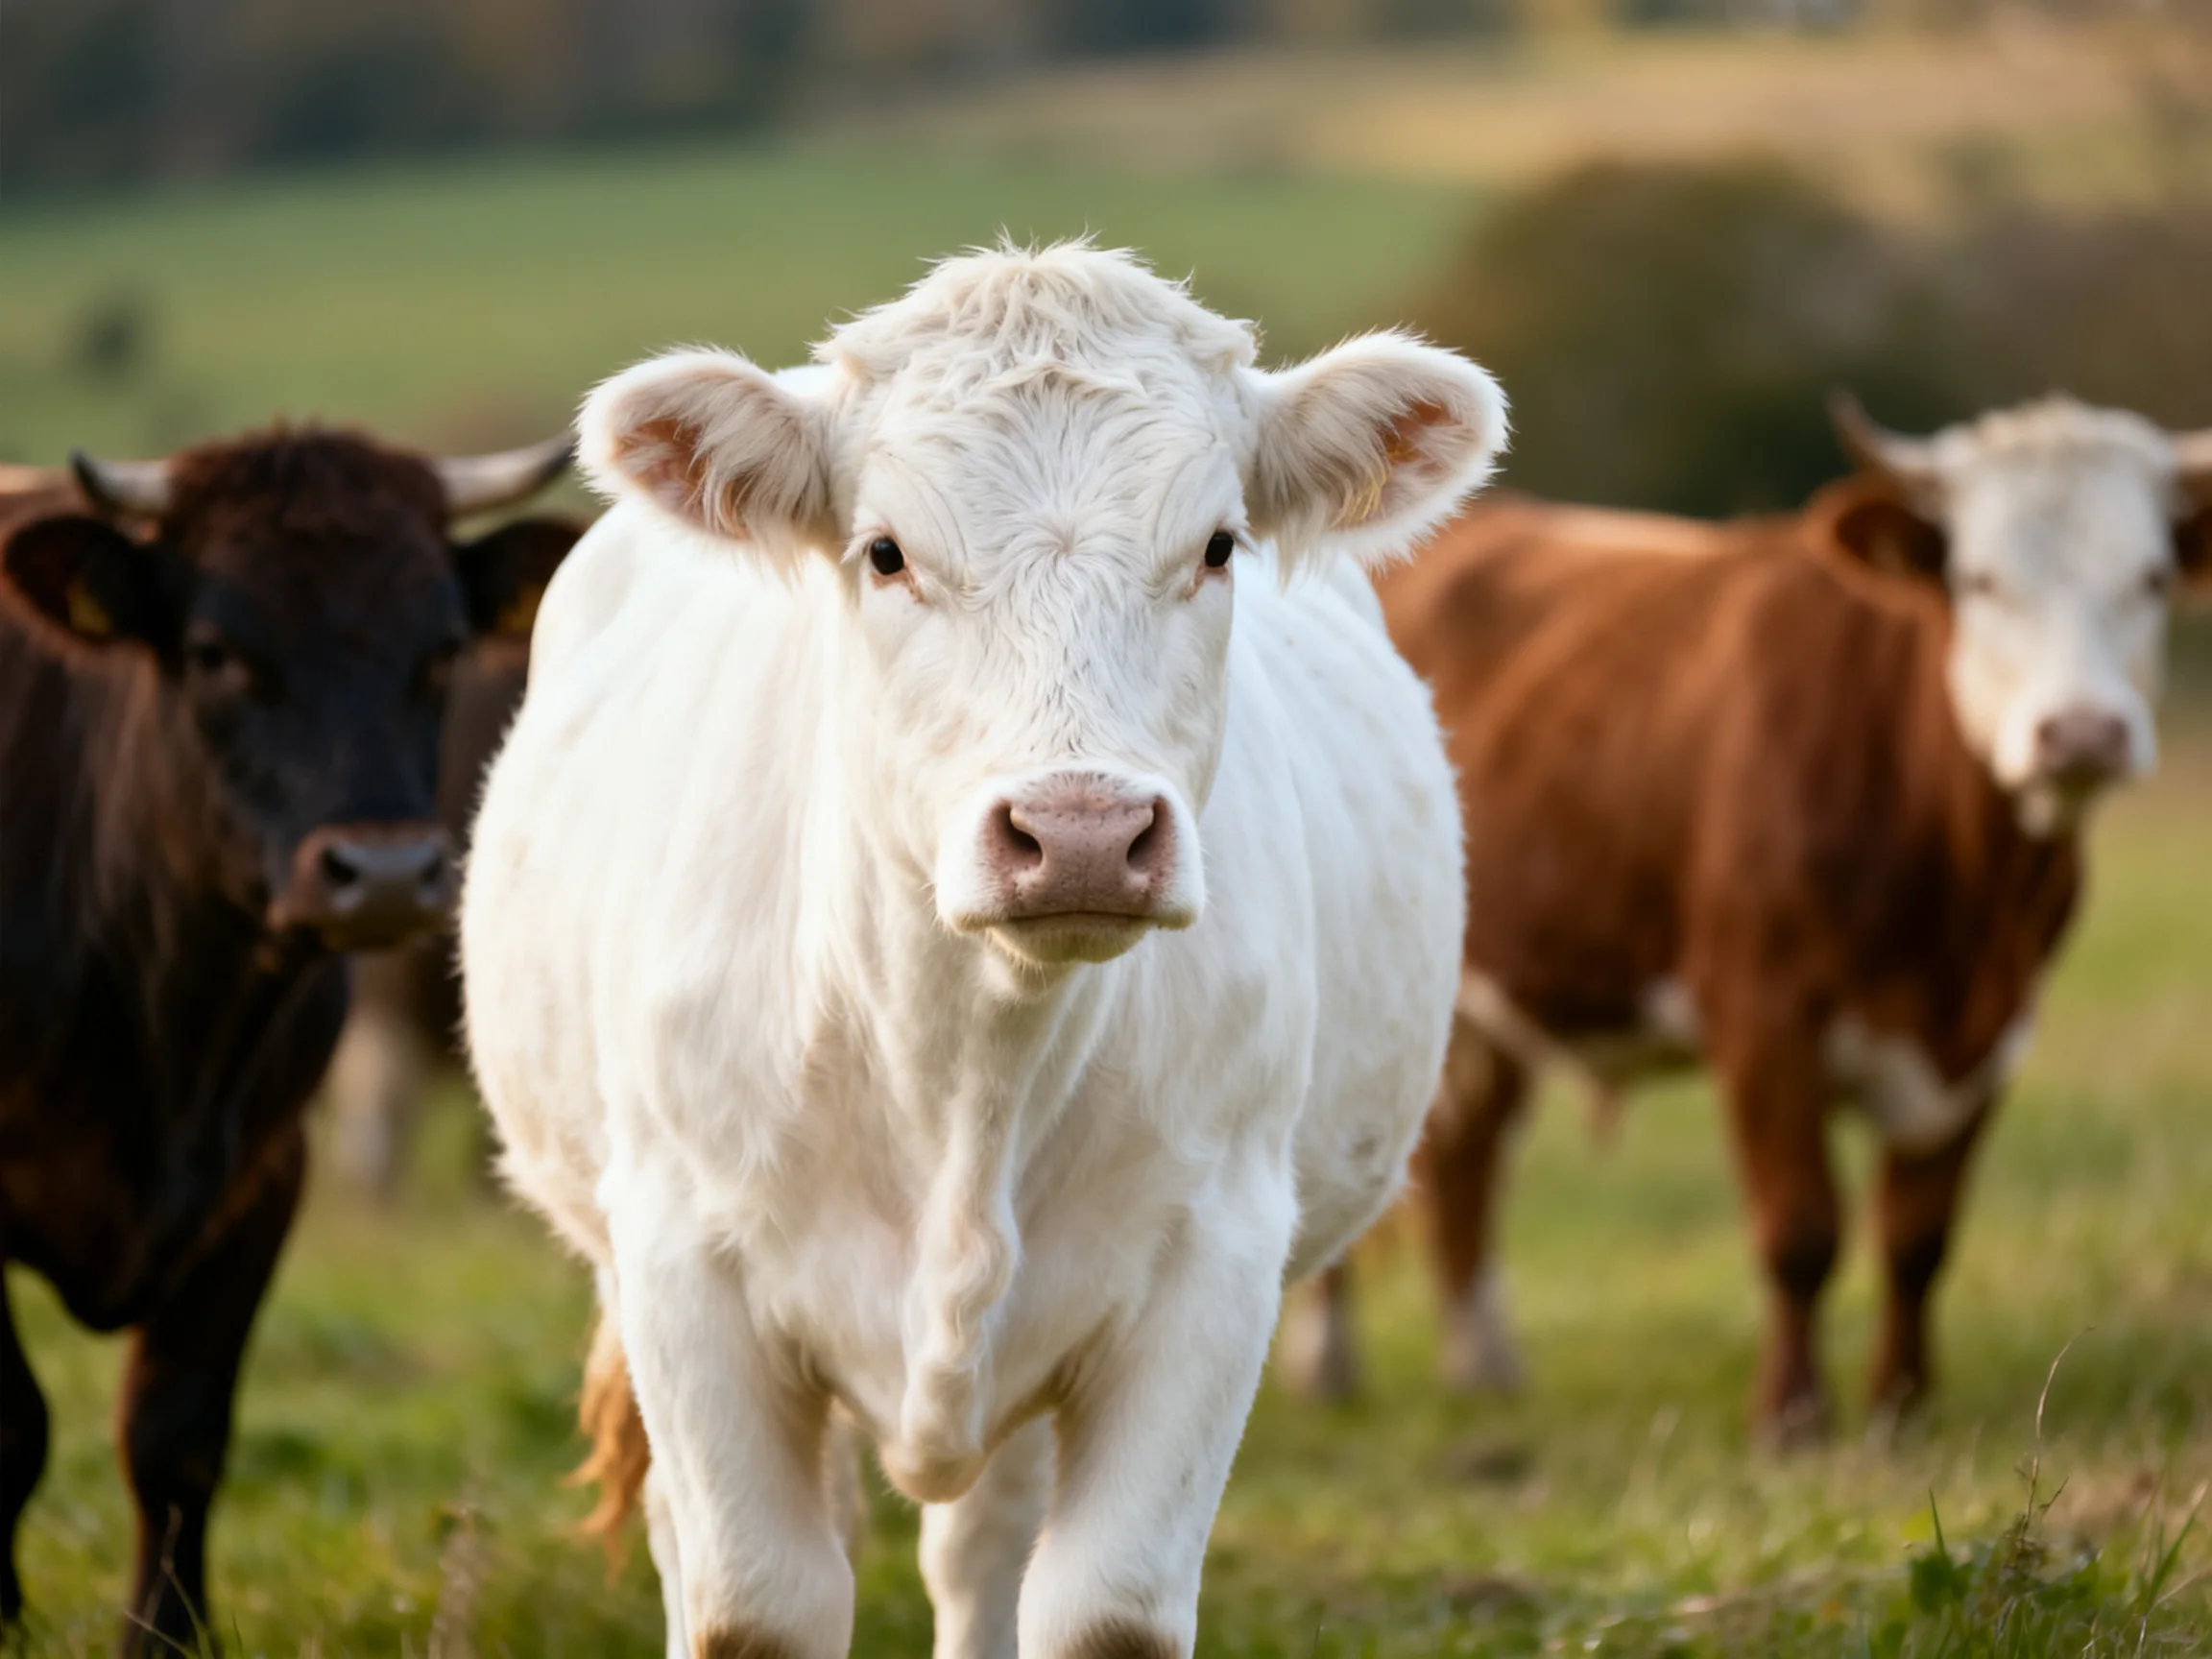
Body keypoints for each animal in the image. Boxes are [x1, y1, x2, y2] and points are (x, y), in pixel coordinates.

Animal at [0, 428, 577, 1654]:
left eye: (441, 646)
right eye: (215, 652)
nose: (389, 873)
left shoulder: (264, 1175)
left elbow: (177, 1436)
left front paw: (168, 1637)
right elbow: (12, 1425)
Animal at [460, 244, 1503, 1659]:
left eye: (1216, 545)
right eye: (886, 553)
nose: (1081, 833)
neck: (964, 1064)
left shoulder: (1210, 1266)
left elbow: (1100, 1606)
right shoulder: (684, 1269)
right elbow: (754, 1601)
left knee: (983, 1543)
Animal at [1288, 395, 2212, 1445]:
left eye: (2150, 578)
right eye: (1980, 580)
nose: (2083, 734)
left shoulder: (1989, 1037)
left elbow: (1919, 1240)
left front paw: (1903, 1407)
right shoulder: (1765, 1021)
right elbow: (1801, 1231)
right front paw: (1792, 1417)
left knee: (1466, 1154)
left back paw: (1484, 1364)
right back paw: (1329, 1362)